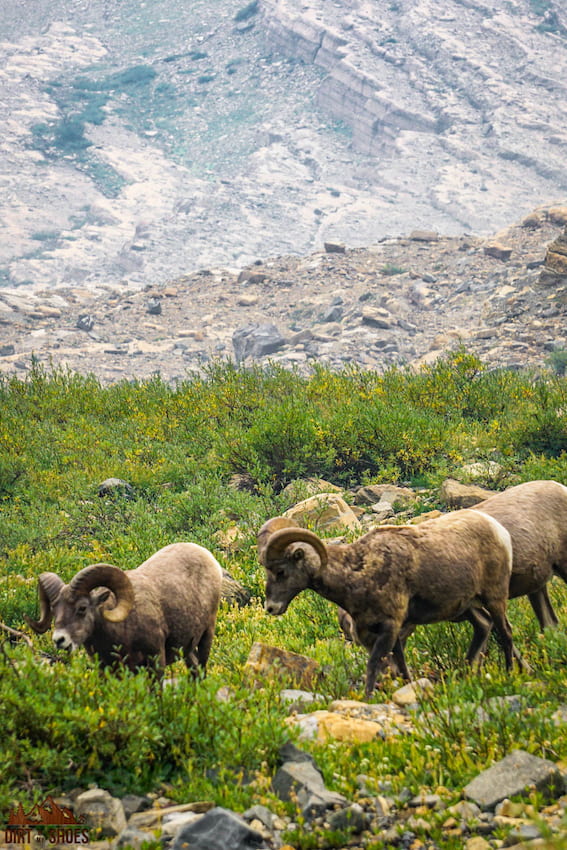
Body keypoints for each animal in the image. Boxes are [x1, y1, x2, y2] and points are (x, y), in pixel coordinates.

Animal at [26, 542, 223, 677]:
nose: (59, 640)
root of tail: (205, 554)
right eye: (54, 610)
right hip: (187, 649)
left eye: (82, 608)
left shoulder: (155, 662)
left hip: (206, 636)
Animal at [258, 511, 520, 696]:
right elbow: (400, 663)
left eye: (280, 571)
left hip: (494, 597)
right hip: (468, 606)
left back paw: (509, 674)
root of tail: (499, 531)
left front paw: (368, 698)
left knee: (505, 632)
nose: (271, 608)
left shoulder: (389, 626)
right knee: (483, 626)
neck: (357, 572)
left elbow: (374, 664)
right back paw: (464, 674)